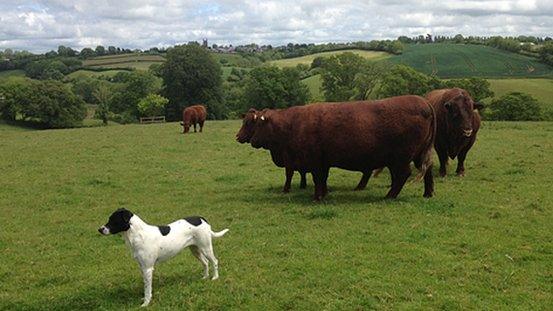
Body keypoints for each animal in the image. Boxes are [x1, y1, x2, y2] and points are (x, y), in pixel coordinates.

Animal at [98, 208, 227, 308]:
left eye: (113, 220)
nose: (99, 229)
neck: (138, 234)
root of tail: (202, 219)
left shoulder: (148, 268)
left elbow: (147, 288)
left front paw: (146, 303)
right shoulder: (142, 267)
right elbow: (146, 285)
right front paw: (145, 299)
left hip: (206, 247)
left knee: (214, 261)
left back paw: (215, 277)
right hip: (195, 250)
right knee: (205, 262)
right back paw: (205, 277)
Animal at [239, 96, 438, 201]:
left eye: (255, 124)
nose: (250, 140)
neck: (294, 123)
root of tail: (423, 102)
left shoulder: (313, 161)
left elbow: (316, 178)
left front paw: (317, 197)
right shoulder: (321, 161)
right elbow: (322, 179)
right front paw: (323, 194)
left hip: (402, 157)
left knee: (404, 174)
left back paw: (390, 195)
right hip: (418, 154)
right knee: (427, 170)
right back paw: (428, 193)